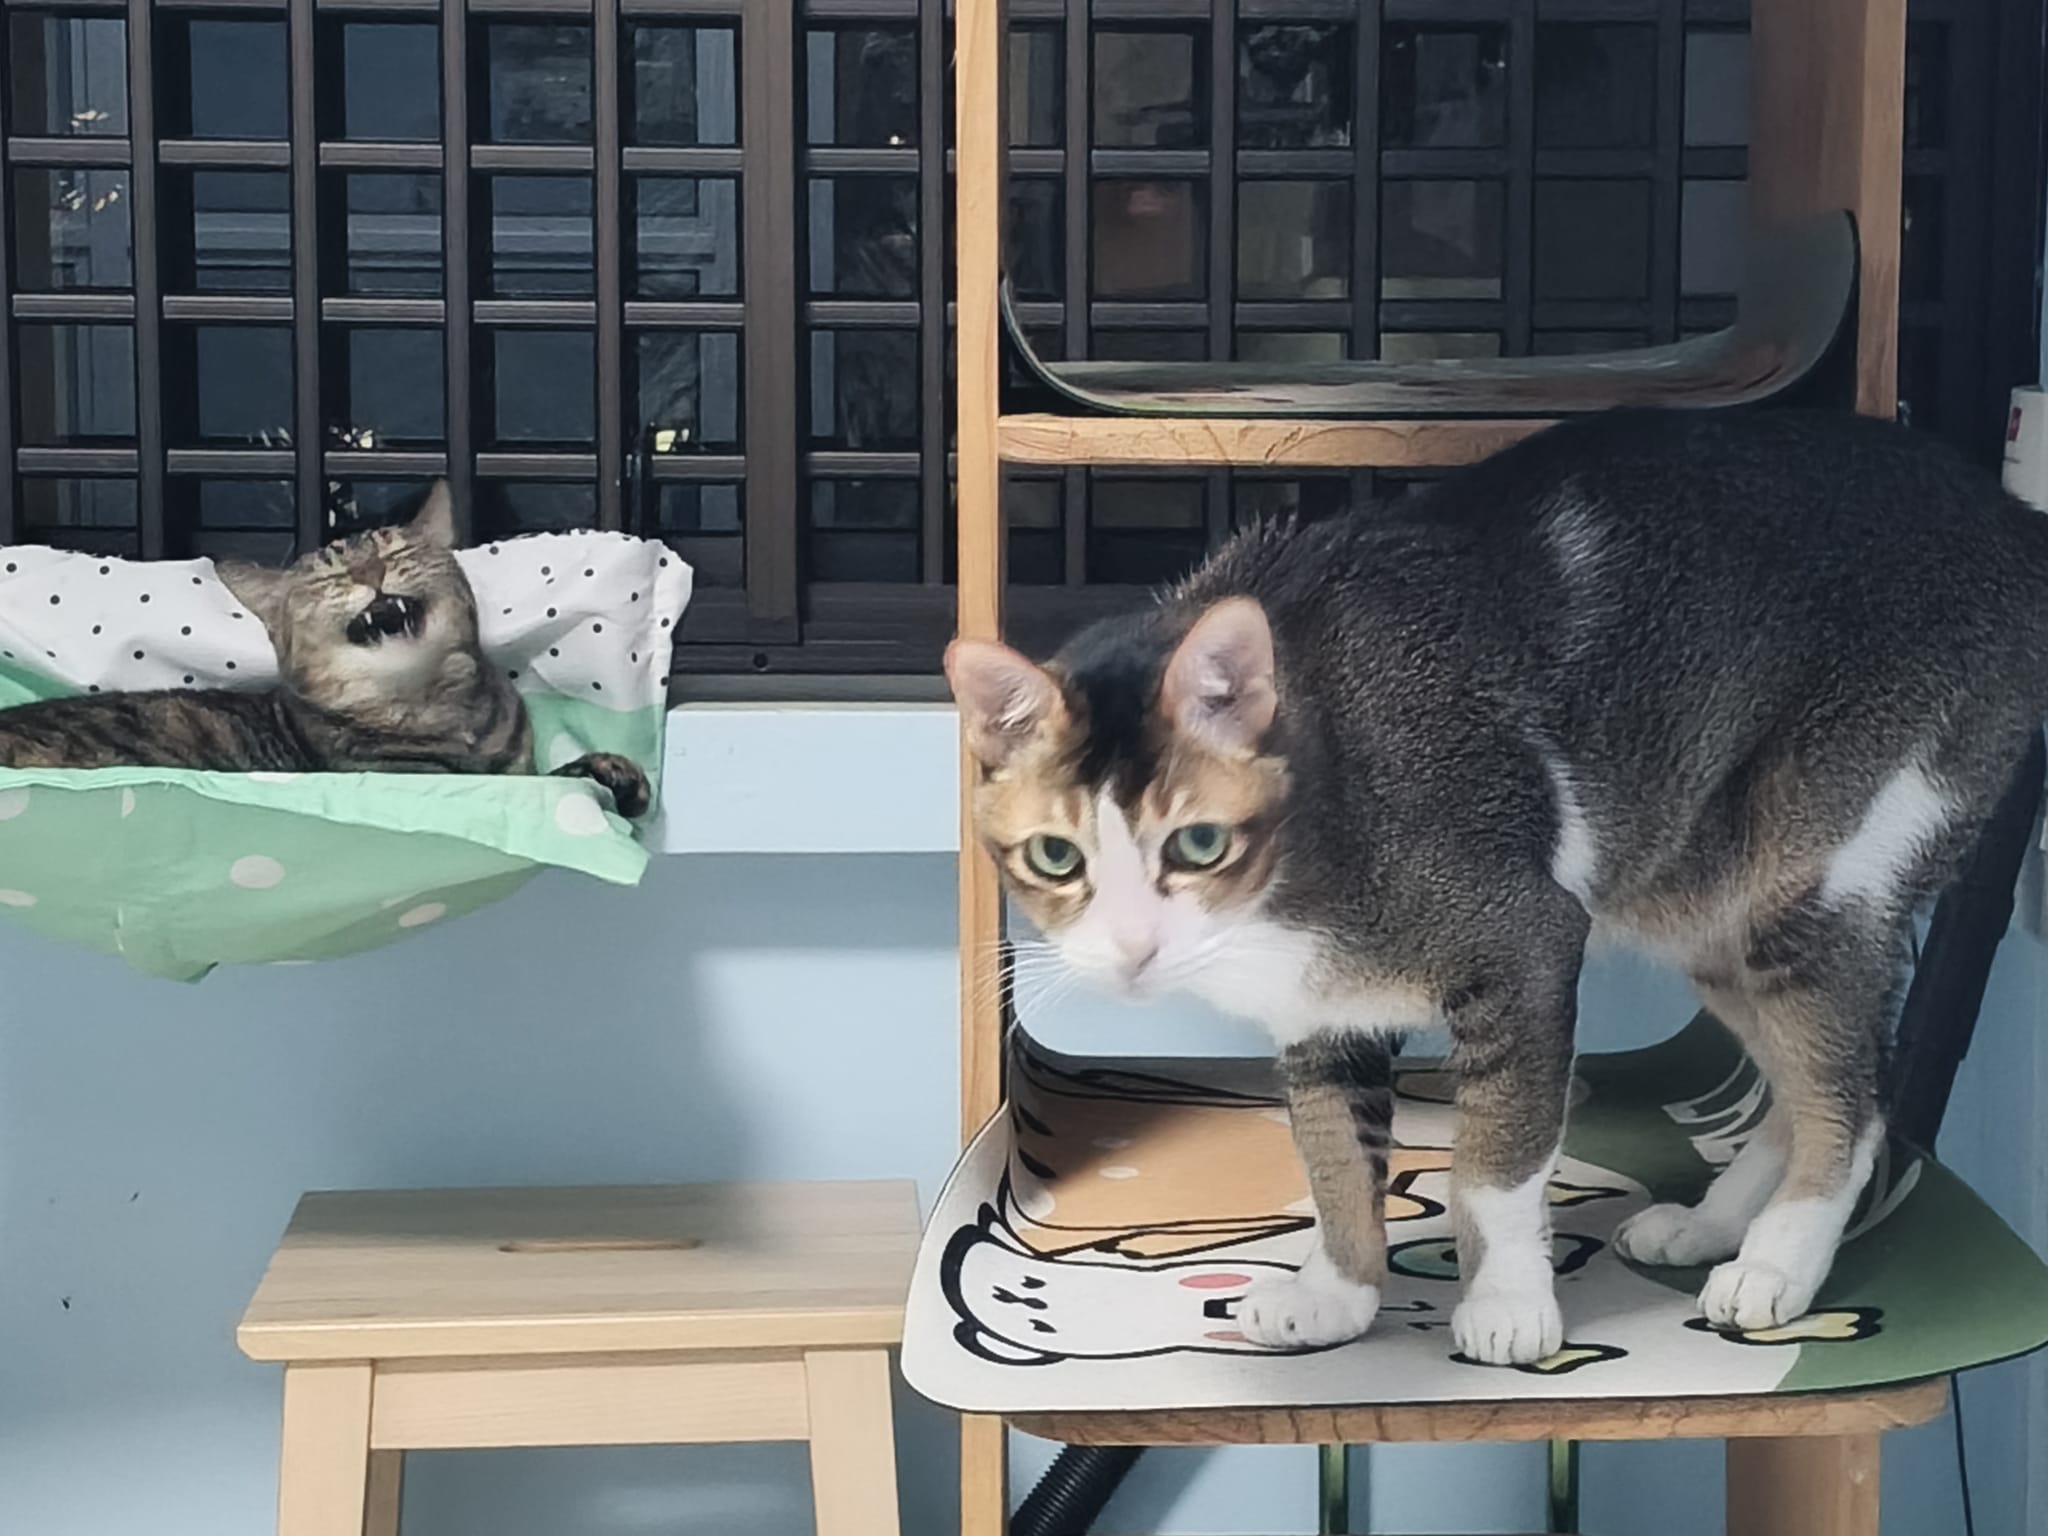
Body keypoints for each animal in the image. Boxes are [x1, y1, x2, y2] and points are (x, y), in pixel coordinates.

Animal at [0, 483, 651, 818]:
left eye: (393, 550)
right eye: (329, 575)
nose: (369, 572)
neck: (434, 708)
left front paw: (617, 773)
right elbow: (542, 781)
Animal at [945, 407, 2048, 1366]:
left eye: (1199, 843)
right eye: (1055, 857)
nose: (1133, 948)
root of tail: (2006, 521)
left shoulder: (1523, 944)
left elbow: (1494, 1163)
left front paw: (1508, 1304)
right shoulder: (1318, 1017)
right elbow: (1334, 1156)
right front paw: (1338, 1292)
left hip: (1812, 874)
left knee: (1856, 1101)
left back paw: (1775, 1265)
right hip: (1707, 905)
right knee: (1813, 1074)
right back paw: (1711, 1225)